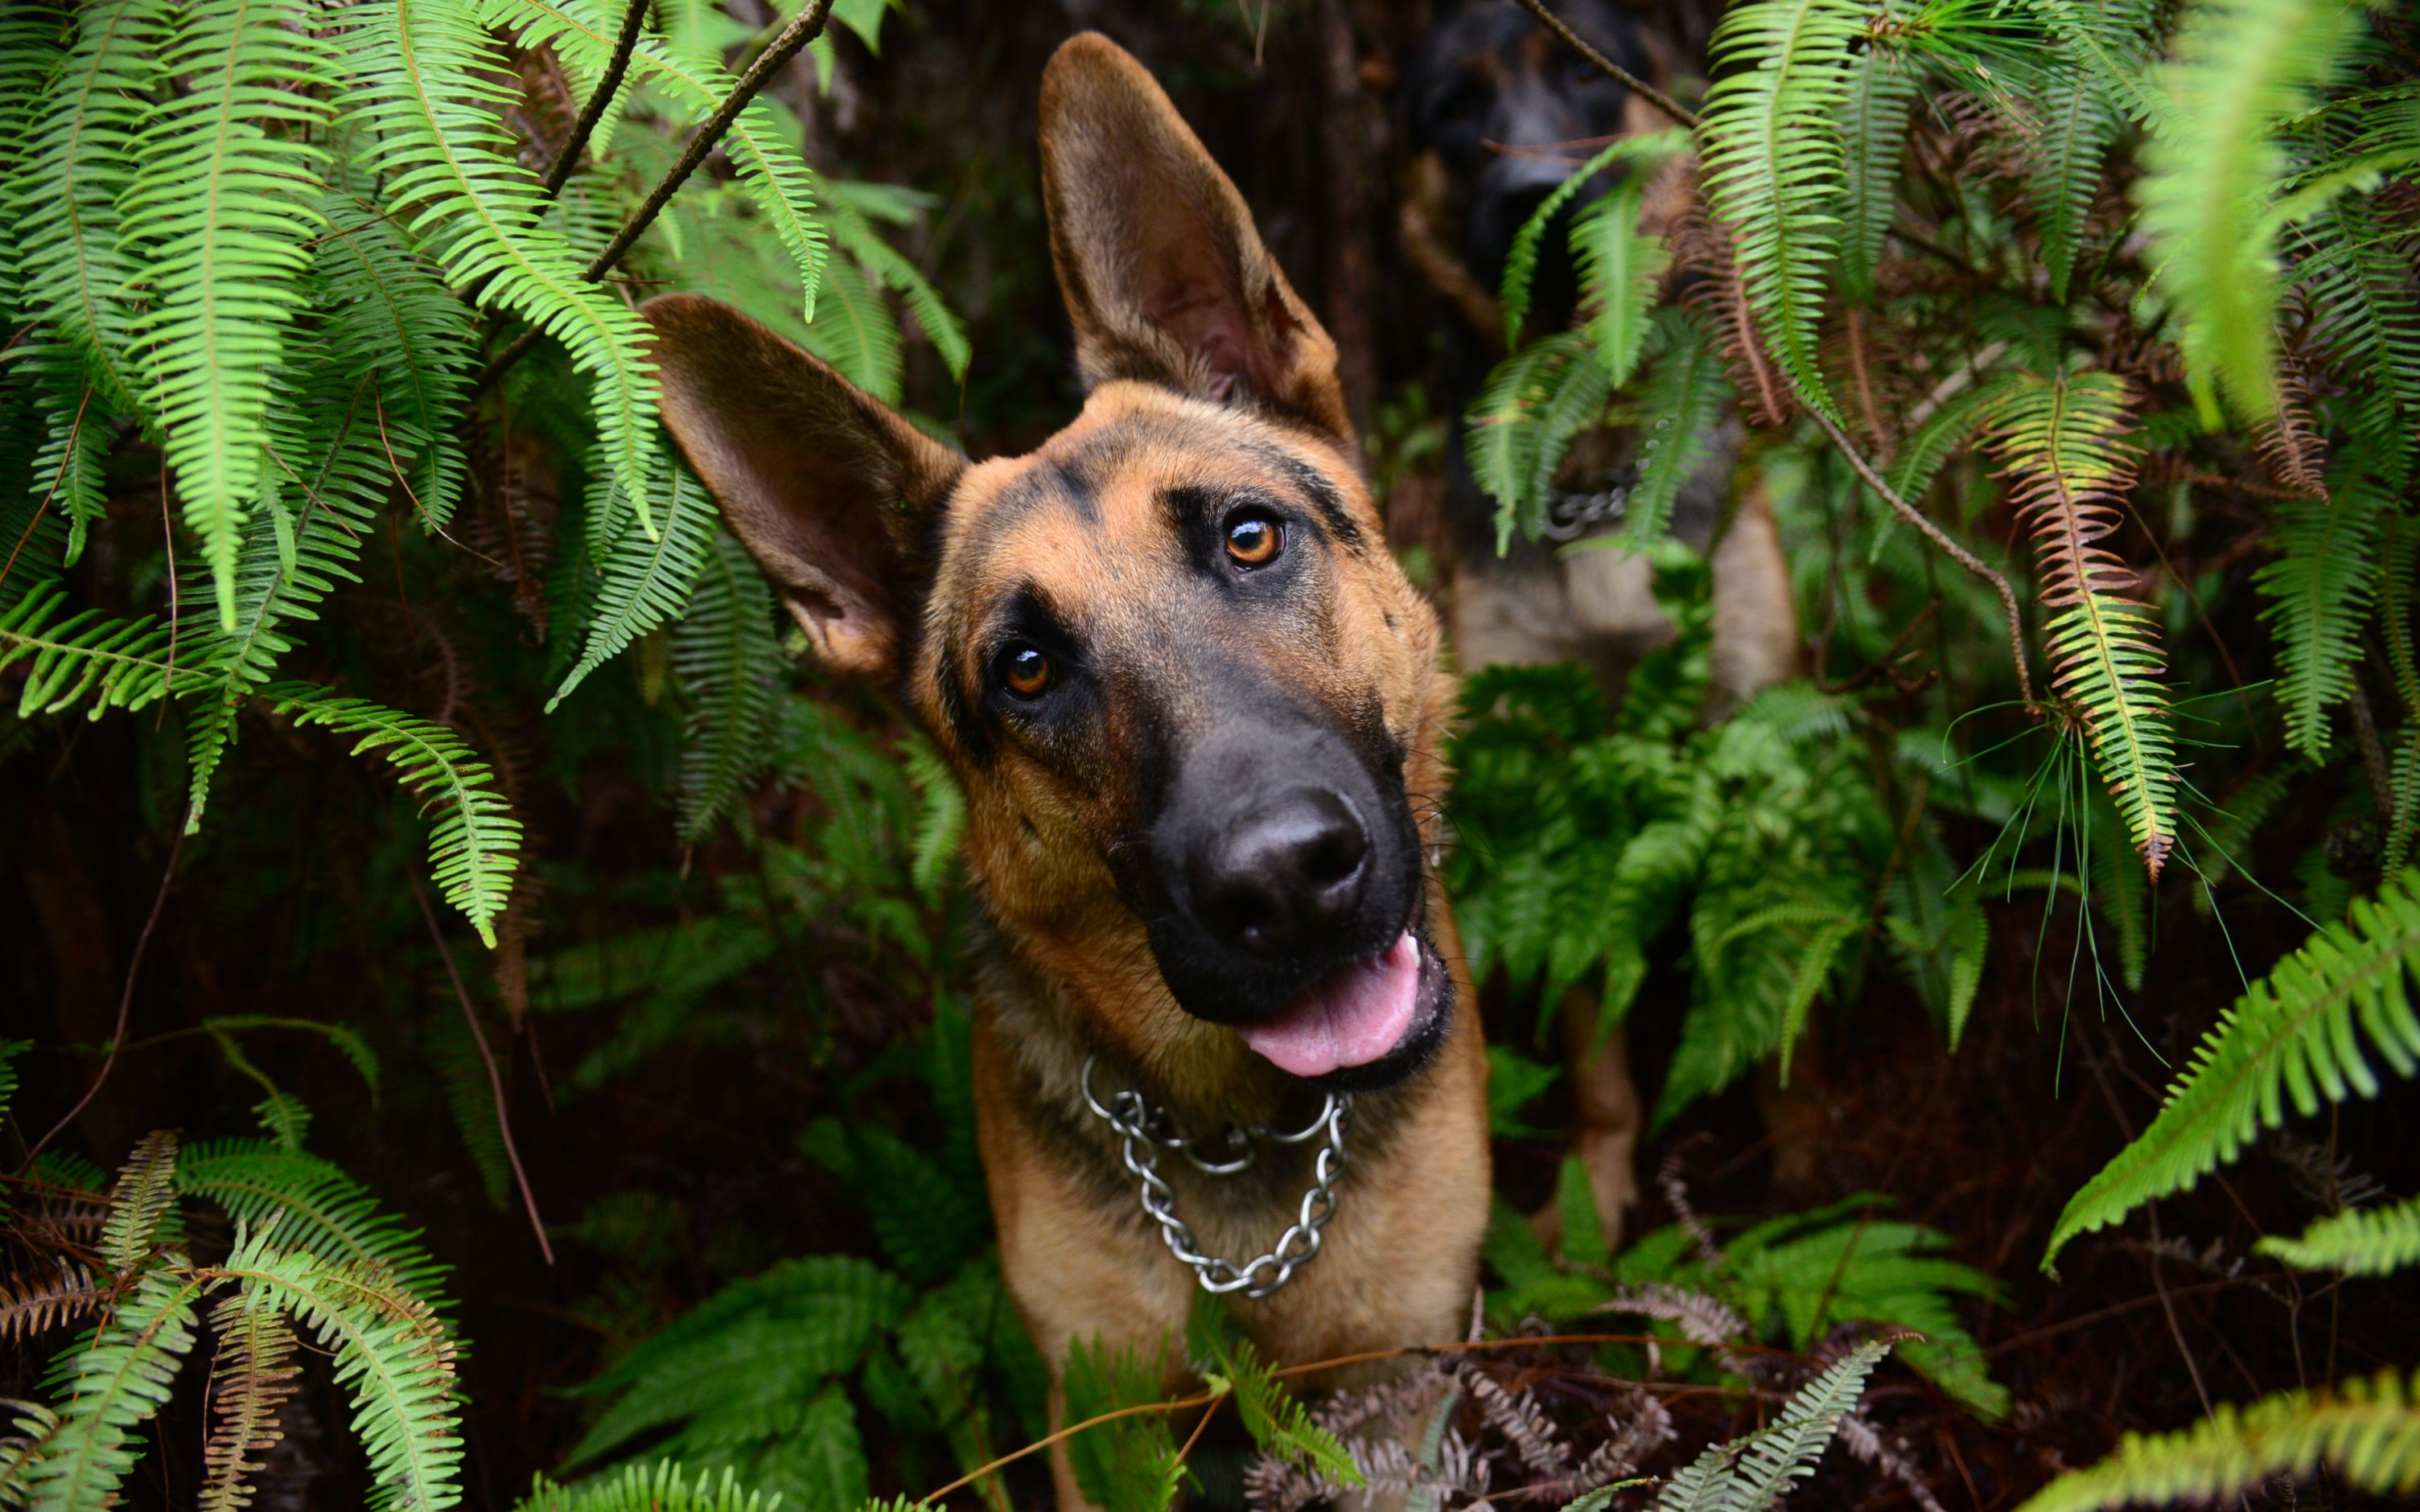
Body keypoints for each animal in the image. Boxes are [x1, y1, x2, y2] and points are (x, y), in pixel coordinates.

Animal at [653, 29, 1490, 1499]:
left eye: (1250, 538)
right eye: (1027, 671)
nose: (1286, 882)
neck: (1247, 1135)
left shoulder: (1396, 1383)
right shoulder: (1101, 1419)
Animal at [1393, 2, 1809, 1239]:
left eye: (1583, 77)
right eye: (1456, 107)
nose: (1530, 190)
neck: (1596, 472)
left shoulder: (1761, 736)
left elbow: (1778, 995)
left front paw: (1804, 1157)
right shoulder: (1550, 774)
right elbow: (1595, 1050)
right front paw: (1597, 1188)